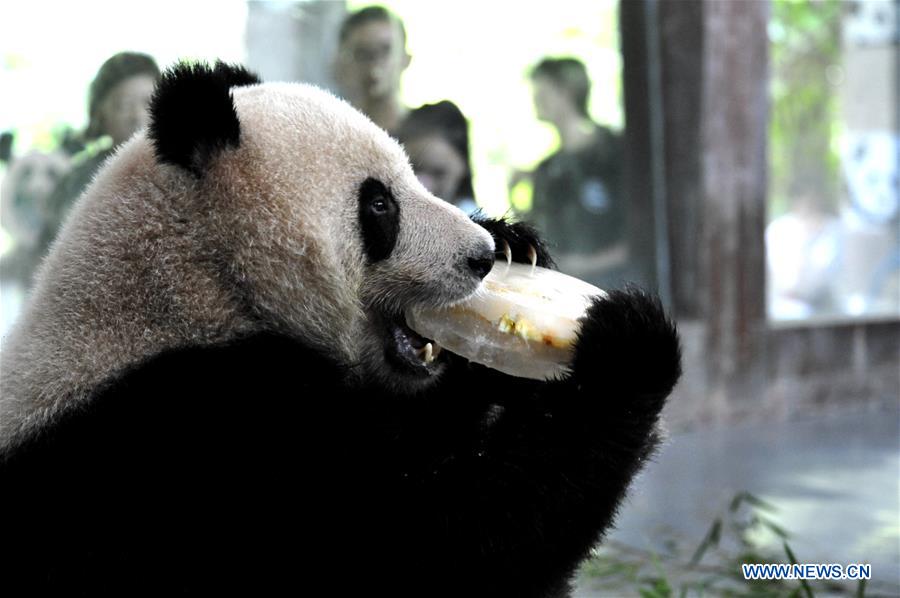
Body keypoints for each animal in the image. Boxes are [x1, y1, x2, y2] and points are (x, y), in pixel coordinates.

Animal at [0, 63, 676, 596]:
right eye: (379, 204)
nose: (480, 257)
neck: (199, 283)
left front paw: (518, 244)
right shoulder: (195, 435)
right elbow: (427, 551)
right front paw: (628, 350)